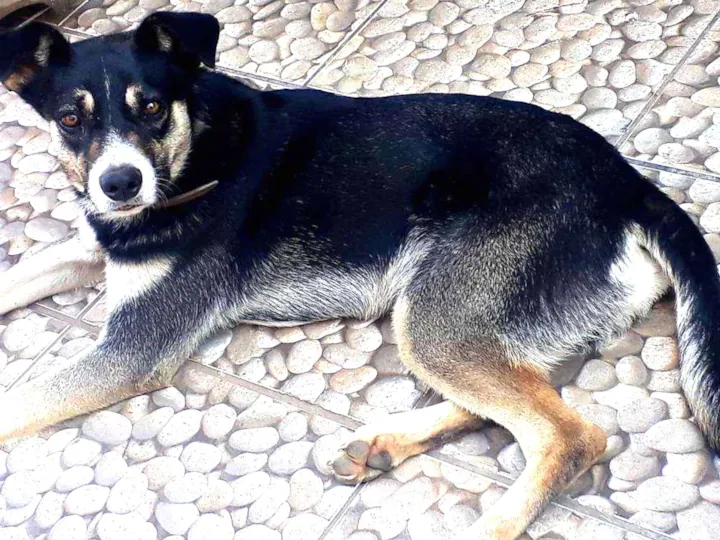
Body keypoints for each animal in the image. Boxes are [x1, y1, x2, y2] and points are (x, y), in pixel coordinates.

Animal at [1, 12, 719, 539]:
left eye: (151, 107)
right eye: (71, 119)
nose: (119, 184)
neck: (197, 146)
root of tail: (627, 182)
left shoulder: (132, 349)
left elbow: (21, 403)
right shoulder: (89, 247)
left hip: (433, 317)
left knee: (571, 433)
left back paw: (483, 522)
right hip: (470, 320)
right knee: (529, 391)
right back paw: (384, 443)